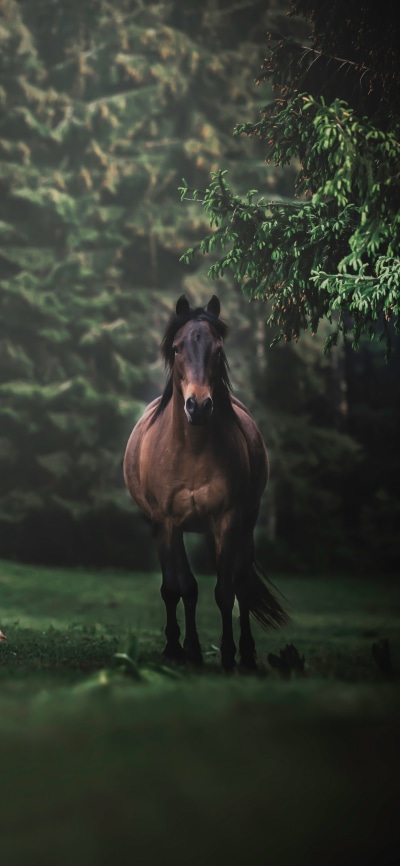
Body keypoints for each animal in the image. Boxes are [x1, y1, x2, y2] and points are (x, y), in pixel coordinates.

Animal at [123, 294, 289, 671]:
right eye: (177, 347)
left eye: (217, 348)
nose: (198, 406)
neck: (192, 449)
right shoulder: (167, 523)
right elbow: (178, 587)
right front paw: (180, 650)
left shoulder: (226, 520)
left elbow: (225, 592)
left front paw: (228, 655)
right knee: (186, 586)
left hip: (244, 524)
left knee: (241, 583)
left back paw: (247, 655)